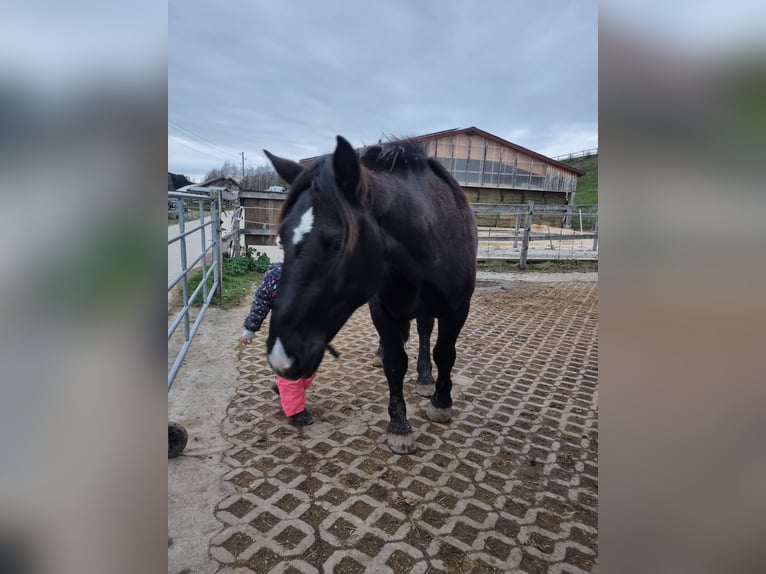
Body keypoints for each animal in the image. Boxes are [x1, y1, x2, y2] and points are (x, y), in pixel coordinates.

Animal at [268, 136, 476, 454]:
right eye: (282, 238)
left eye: (337, 243)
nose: (282, 357)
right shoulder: (384, 310)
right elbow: (395, 363)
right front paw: (400, 427)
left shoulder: (458, 309)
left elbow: (444, 353)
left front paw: (441, 403)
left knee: (425, 331)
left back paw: (425, 377)